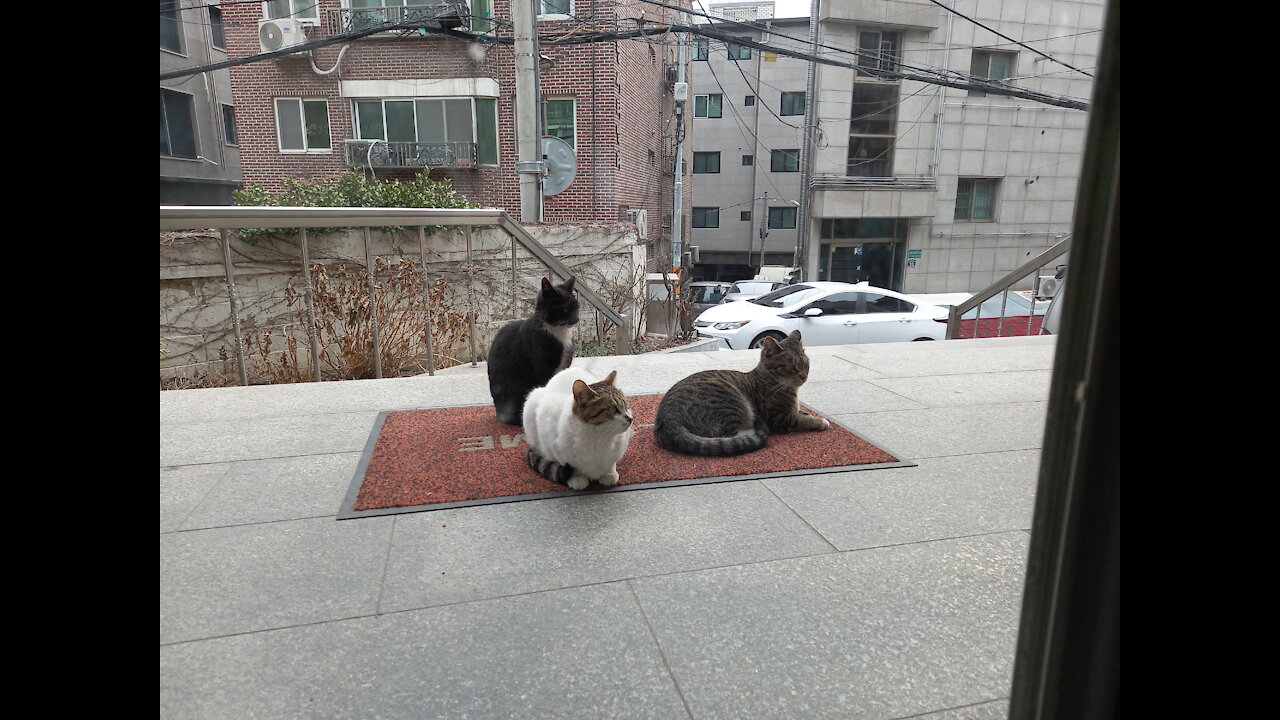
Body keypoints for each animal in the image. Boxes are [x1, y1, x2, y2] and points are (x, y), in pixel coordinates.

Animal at [483, 272, 581, 420]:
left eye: (576, 308)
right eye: (564, 309)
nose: (576, 319)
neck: (558, 331)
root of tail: (499, 414)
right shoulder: (541, 369)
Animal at [655, 326, 824, 450]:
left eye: (806, 364)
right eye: (791, 368)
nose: (804, 376)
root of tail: (667, 420)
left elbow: (802, 413)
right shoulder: (777, 418)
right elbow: (801, 420)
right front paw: (820, 421)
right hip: (730, 402)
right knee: (731, 435)